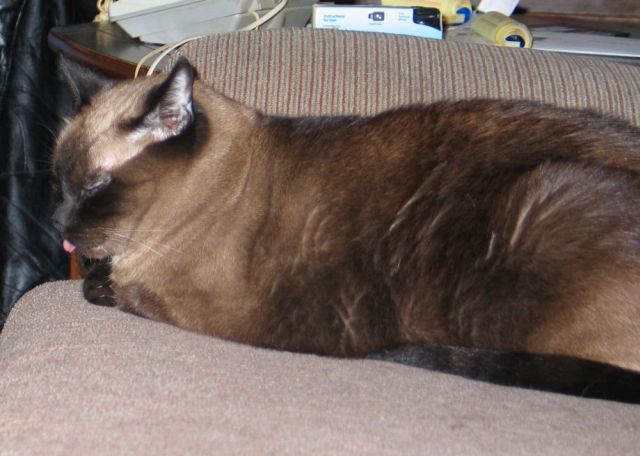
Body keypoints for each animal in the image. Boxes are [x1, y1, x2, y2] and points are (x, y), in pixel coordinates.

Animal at [51, 56, 640, 402]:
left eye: (94, 188)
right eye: (59, 182)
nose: (58, 225)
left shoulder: (166, 301)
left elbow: (98, 288)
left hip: (552, 193)